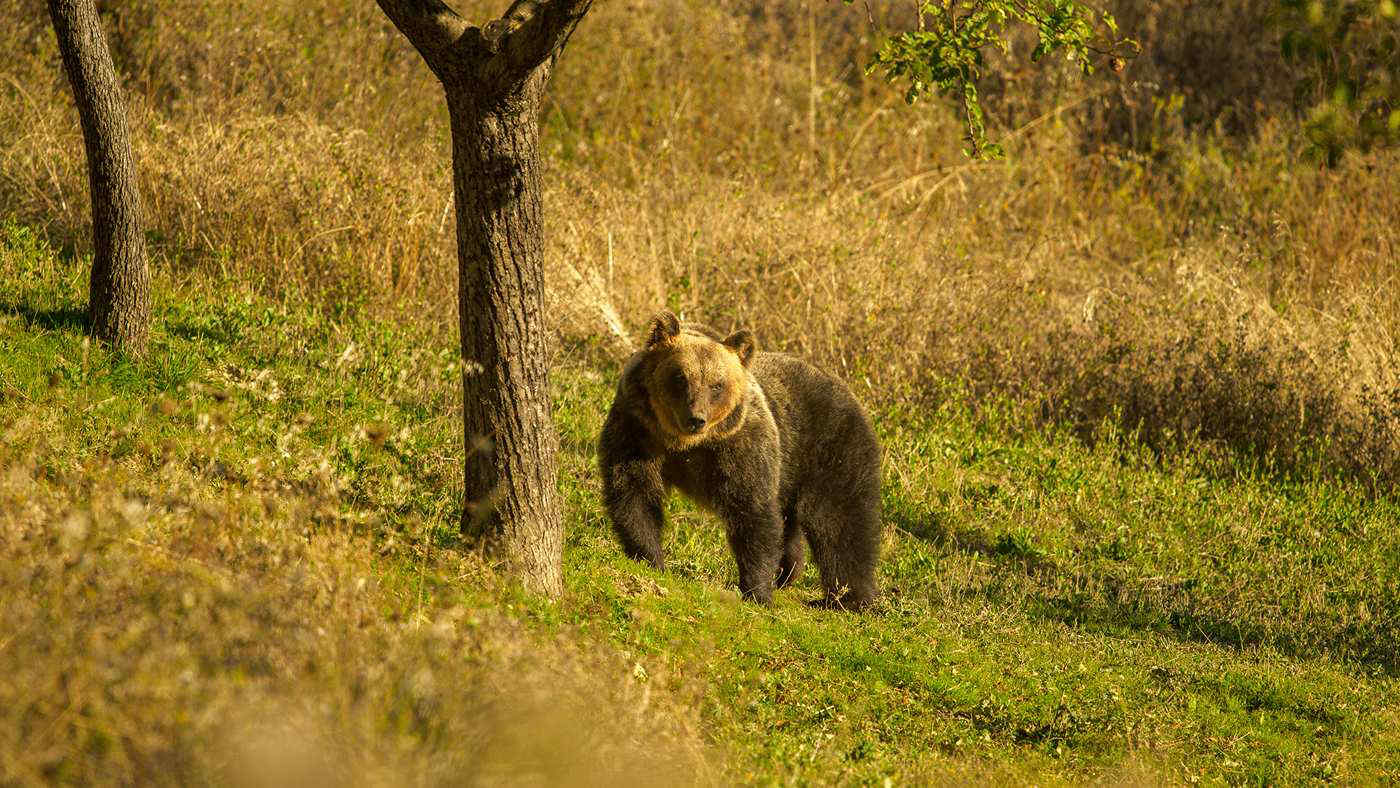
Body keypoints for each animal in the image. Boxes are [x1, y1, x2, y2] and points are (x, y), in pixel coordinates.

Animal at [597, 309, 882, 609]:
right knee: (794, 524)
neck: (684, 444)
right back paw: (787, 575)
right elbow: (634, 492)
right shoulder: (638, 429)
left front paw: (757, 591)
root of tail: (846, 387)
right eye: (681, 377)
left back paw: (846, 597)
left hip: (829, 447)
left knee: (840, 522)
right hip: (790, 471)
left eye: (716, 385)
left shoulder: (740, 446)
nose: (696, 418)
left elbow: (752, 512)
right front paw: (650, 558)